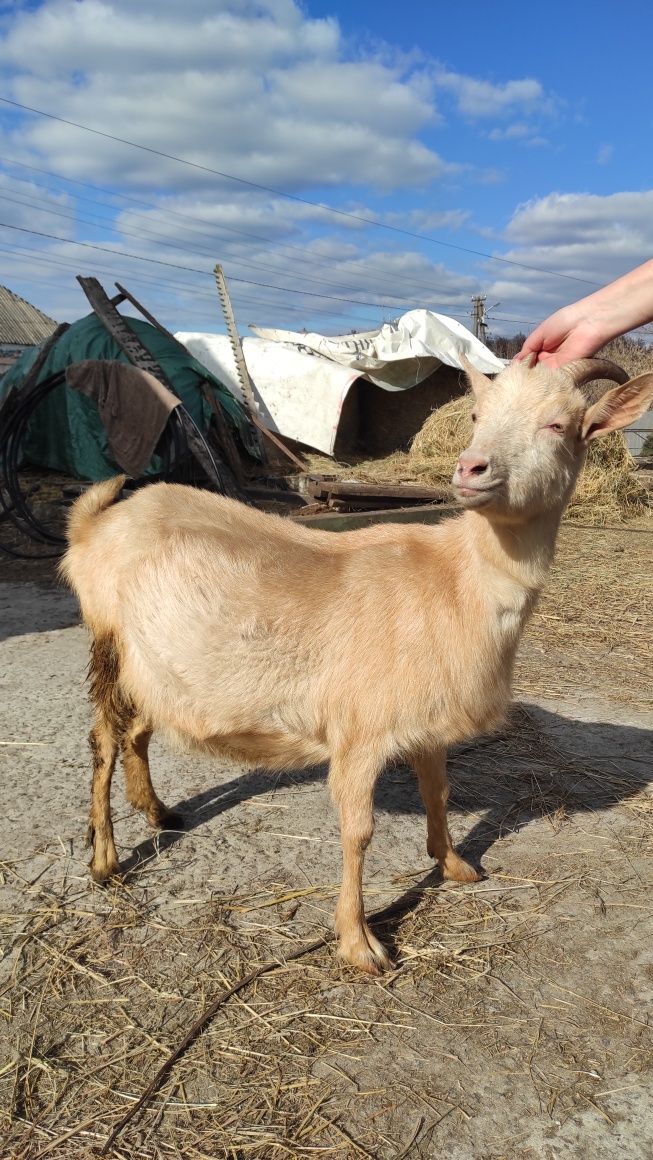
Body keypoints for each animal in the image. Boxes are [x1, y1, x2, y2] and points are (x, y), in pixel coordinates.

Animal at [61, 352, 653, 969]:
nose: (471, 468)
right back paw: (105, 860)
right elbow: (358, 831)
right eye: (475, 415)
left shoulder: (426, 719)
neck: (457, 580)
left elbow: (438, 792)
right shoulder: (361, 732)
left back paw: (158, 812)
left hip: (155, 667)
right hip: (107, 639)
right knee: (104, 740)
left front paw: (454, 865)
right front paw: (359, 942)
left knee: (139, 731)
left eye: (559, 424)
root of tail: (95, 523)